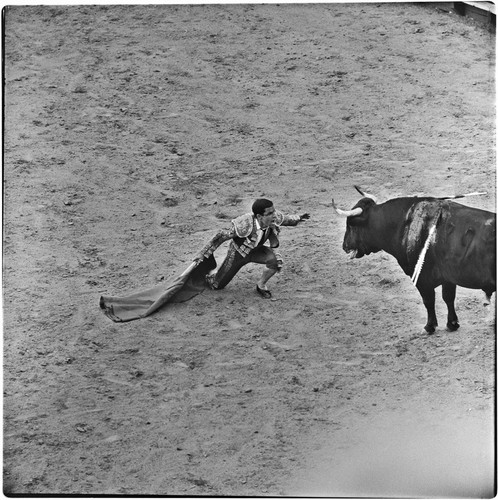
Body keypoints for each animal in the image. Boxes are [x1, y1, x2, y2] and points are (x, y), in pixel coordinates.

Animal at [332, 187, 496, 332]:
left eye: (350, 224)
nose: (344, 246)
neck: (404, 224)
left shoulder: (421, 277)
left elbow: (428, 300)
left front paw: (430, 326)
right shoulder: (448, 278)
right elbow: (448, 298)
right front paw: (452, 324)